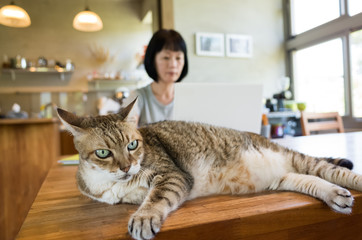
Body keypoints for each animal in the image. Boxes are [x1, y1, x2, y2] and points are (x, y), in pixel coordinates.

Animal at [56, 98, 360, 240]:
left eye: (133, 145)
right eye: (103, 153)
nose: (127, 166)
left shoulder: (171, 175)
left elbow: (155, 198)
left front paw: (143, 218)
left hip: (302, 161)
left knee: (337, 172)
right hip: (284, 176)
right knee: (310, 180)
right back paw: (336, 196)